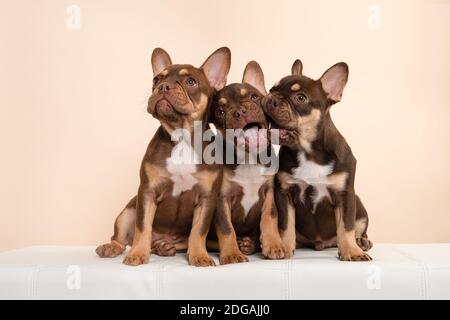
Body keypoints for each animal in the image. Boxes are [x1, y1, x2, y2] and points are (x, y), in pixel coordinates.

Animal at [94, 47, 229, 266]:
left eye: (190, 81)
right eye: (156, 79)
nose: (163, 87)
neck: (181, 136)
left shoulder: (207, 198)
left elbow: (199, 231)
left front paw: (199, 255)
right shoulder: (147, 191)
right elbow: (143, 227)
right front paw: (137, 254)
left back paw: (165, 247)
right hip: (127, 212)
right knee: (122, 238)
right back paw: (113, 247)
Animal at [260, 58, 372, 262]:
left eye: (300, 98)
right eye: (272, 89)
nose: (272, 98)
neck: (308, 151)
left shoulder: (345, 195)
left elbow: (346, 227)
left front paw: (352, 251)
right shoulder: (285, 193)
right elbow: (286, 224)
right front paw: (285, 247)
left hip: (359, 206)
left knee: (357, 229)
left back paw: (361, 242)